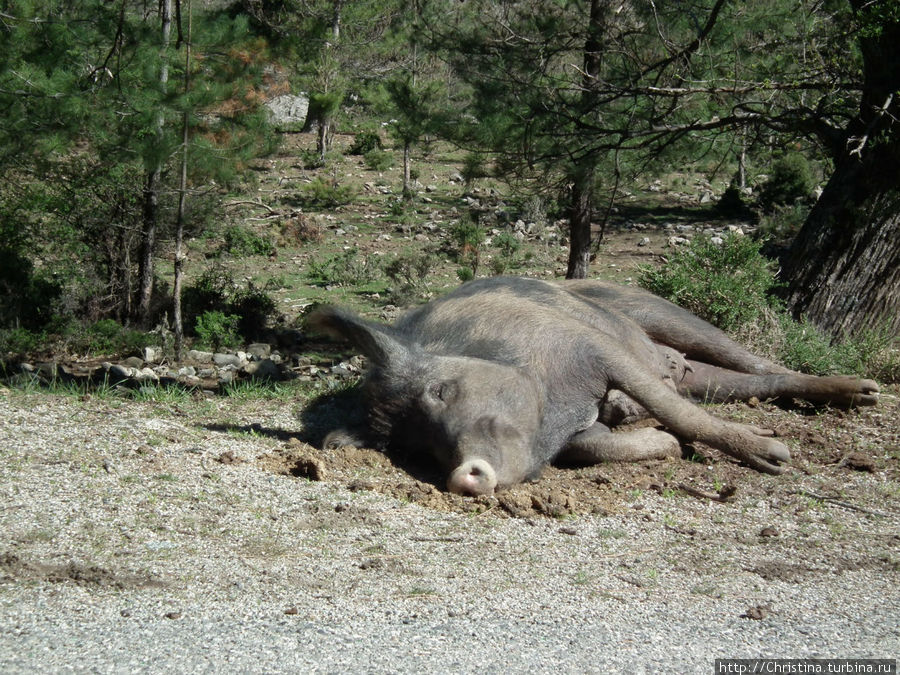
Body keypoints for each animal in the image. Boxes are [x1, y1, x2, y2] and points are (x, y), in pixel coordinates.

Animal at [310, 276, 880, 496]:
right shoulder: (576, 432)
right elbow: (602, 446)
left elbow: (672, 409)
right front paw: (664, 442)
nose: (462, 477)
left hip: (658, 311)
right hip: (702, 376)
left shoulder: (592, 347)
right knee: (729, 383)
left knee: (755, 362)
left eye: (440, 392)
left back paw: (867, 393)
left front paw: (776, 457)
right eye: (414, 448)